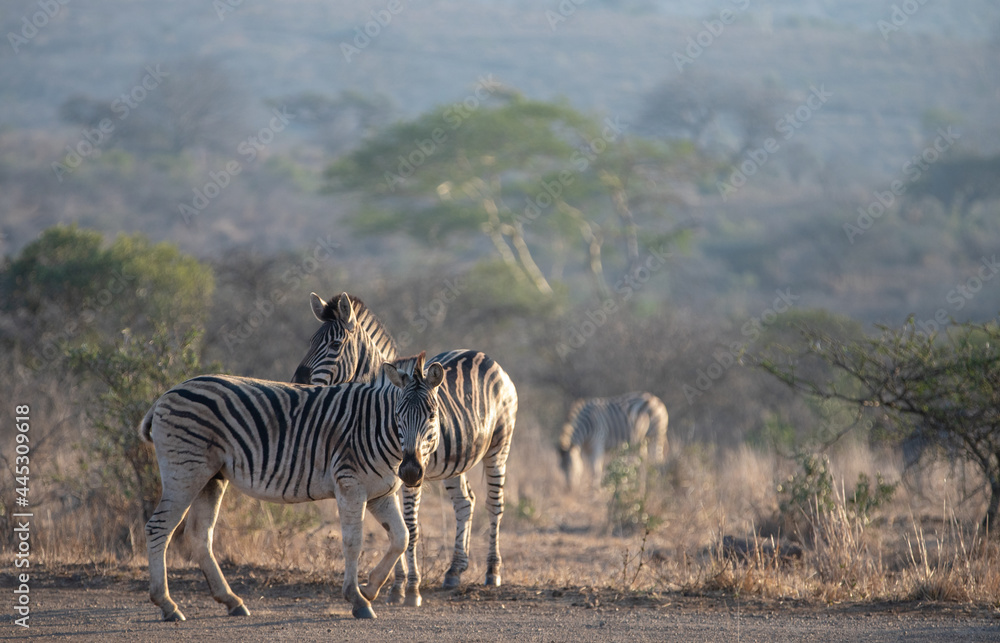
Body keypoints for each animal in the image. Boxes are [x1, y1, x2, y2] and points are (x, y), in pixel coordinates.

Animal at [140, 353, 444, 621]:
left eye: (431, 415)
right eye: (398, 414)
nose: (411, 471)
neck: (377, 428)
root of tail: (167, 393)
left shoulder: (380, 494)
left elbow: (401, 537)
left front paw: (370, 589)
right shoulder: (350, 485)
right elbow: (353, 543)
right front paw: (357, 599)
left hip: (212, 476)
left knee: (200, 534)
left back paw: (231, 601)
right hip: (185, 470)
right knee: (159, 528)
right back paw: (167, 605)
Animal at [291, 291, 518, 608]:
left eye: (335, 345)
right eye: (311, 342)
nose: (296, 383)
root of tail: (485, 356)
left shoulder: (411, 471)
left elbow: (410, 527)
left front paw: (411, 588)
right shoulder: (388, 474)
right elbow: (395, 528)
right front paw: (396, 586)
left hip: (499, 447)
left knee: (494, 504)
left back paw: (492, 572)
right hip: (454, 460)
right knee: (465, 502)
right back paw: (454, 571)